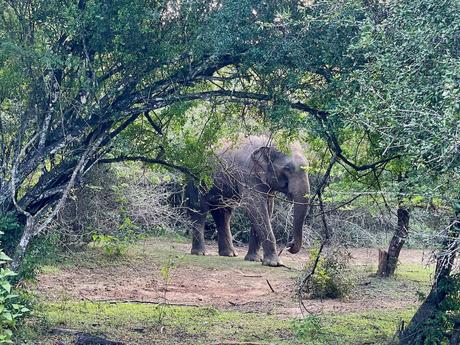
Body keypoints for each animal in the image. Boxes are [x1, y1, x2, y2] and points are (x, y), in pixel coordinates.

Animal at [185, 134, 310, 266]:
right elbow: (254, 206)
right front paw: (274, 264)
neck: (266, 140)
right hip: (195, 177)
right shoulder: (247, 173)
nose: (289, 245)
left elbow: (266, 208)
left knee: (223, 213)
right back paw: (200, 253)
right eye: (287, 168)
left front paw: (254, 259)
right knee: (199, 209)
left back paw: (230, 254)